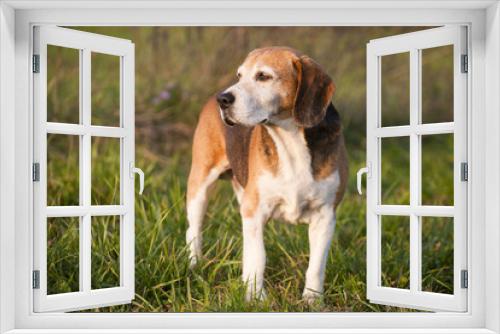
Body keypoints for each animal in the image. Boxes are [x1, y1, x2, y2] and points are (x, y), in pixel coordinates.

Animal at [187, 46, 348, 300]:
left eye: (263, 76)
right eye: (239, 76)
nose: (223, 99)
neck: (290, 141)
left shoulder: (325, 215)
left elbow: (316, 265)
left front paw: (312, 299)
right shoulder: (255, 211)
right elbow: (258, 257)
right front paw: (255, 298)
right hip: (200, 186)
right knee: (193, 230)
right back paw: (195, 265)